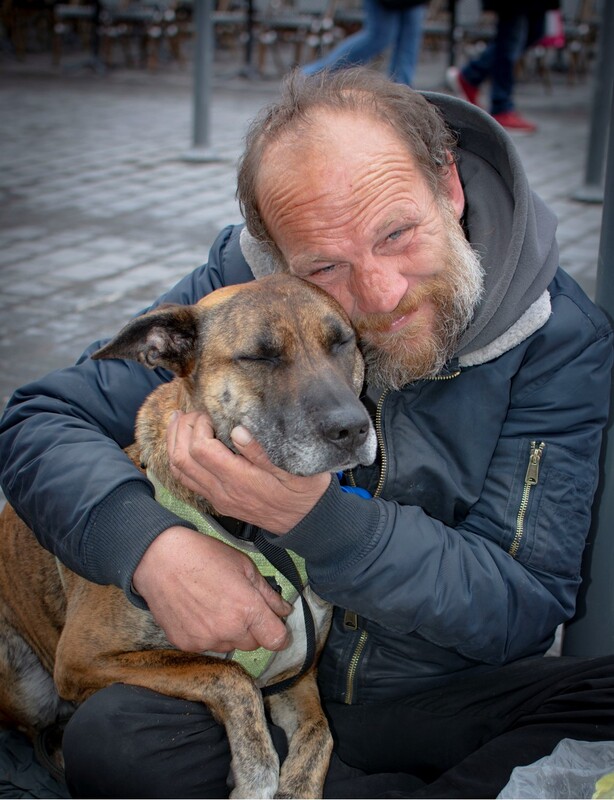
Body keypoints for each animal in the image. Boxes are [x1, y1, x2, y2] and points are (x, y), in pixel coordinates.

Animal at [0, 276, 378, 800]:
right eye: (259, 357)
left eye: (342, 343)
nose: (353, 429)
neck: (256, 536)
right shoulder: (83, 659)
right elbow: (228, 674)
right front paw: (256, 775)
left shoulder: (295, 679)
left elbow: (320, 735)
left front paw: (291, 785)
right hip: (26, 682)